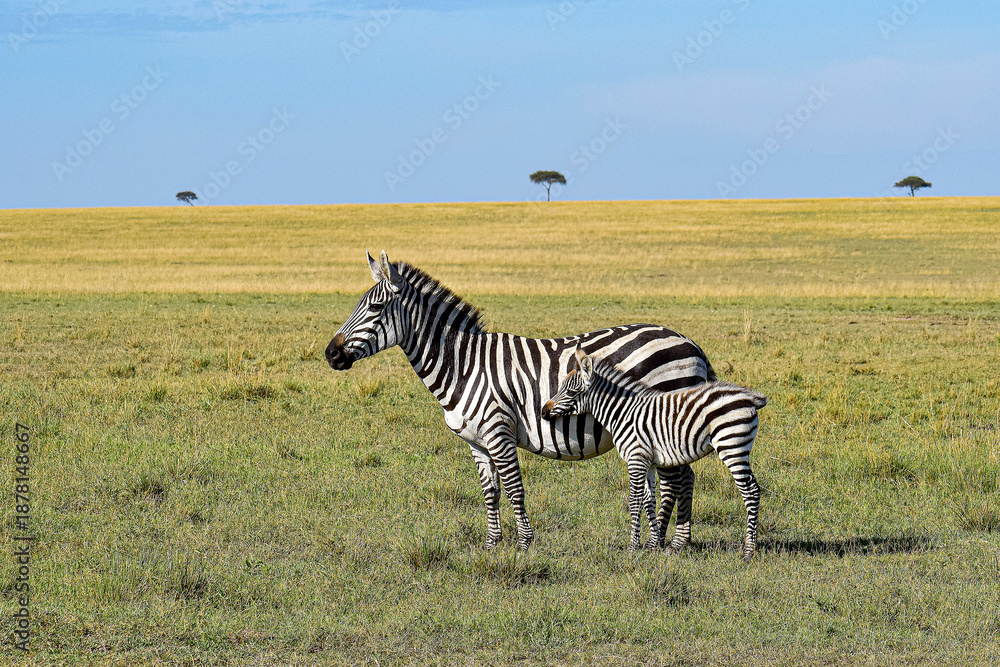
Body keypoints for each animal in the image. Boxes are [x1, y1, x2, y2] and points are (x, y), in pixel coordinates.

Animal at [326, 251, 716, 550]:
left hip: (663, 419)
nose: (331, 354)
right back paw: (673, 541)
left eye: (376, 308)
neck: (463, 365)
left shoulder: (499, 431)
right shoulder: (476, 442)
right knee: (684, 477)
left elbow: (514, 488)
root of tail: (689, 342)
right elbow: (490, 491)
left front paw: (525, 544)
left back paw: (668, 542)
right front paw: (492, 543)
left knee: (677, 479)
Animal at [541, 348, 766, 560]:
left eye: (571, 392)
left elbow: (634, 500)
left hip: (732, 446)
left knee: (751, 491)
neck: (623, 413)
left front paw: (633, 547)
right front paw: (653, 544)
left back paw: (748, 551)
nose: (543, 411)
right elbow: (649, 500)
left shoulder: (636, 459)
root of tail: (749, 398)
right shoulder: (648, 462)